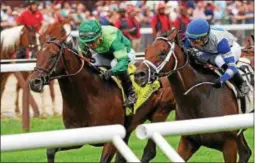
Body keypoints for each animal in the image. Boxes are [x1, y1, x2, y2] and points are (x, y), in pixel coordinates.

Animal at [27, 36, 175, 163]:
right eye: (37, 55)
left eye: (53, 55)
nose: (34, 82)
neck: (90, 97)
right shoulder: (78, 136)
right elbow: (50, 150)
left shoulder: (111, 140)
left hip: (160, 112)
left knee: (149, 152)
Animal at [134, 29, 252, 162]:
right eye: (146, 51)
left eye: (163, 52)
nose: (139, 75)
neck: (201, 98)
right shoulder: (188, 142)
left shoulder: (229, 144)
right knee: (245, 152)